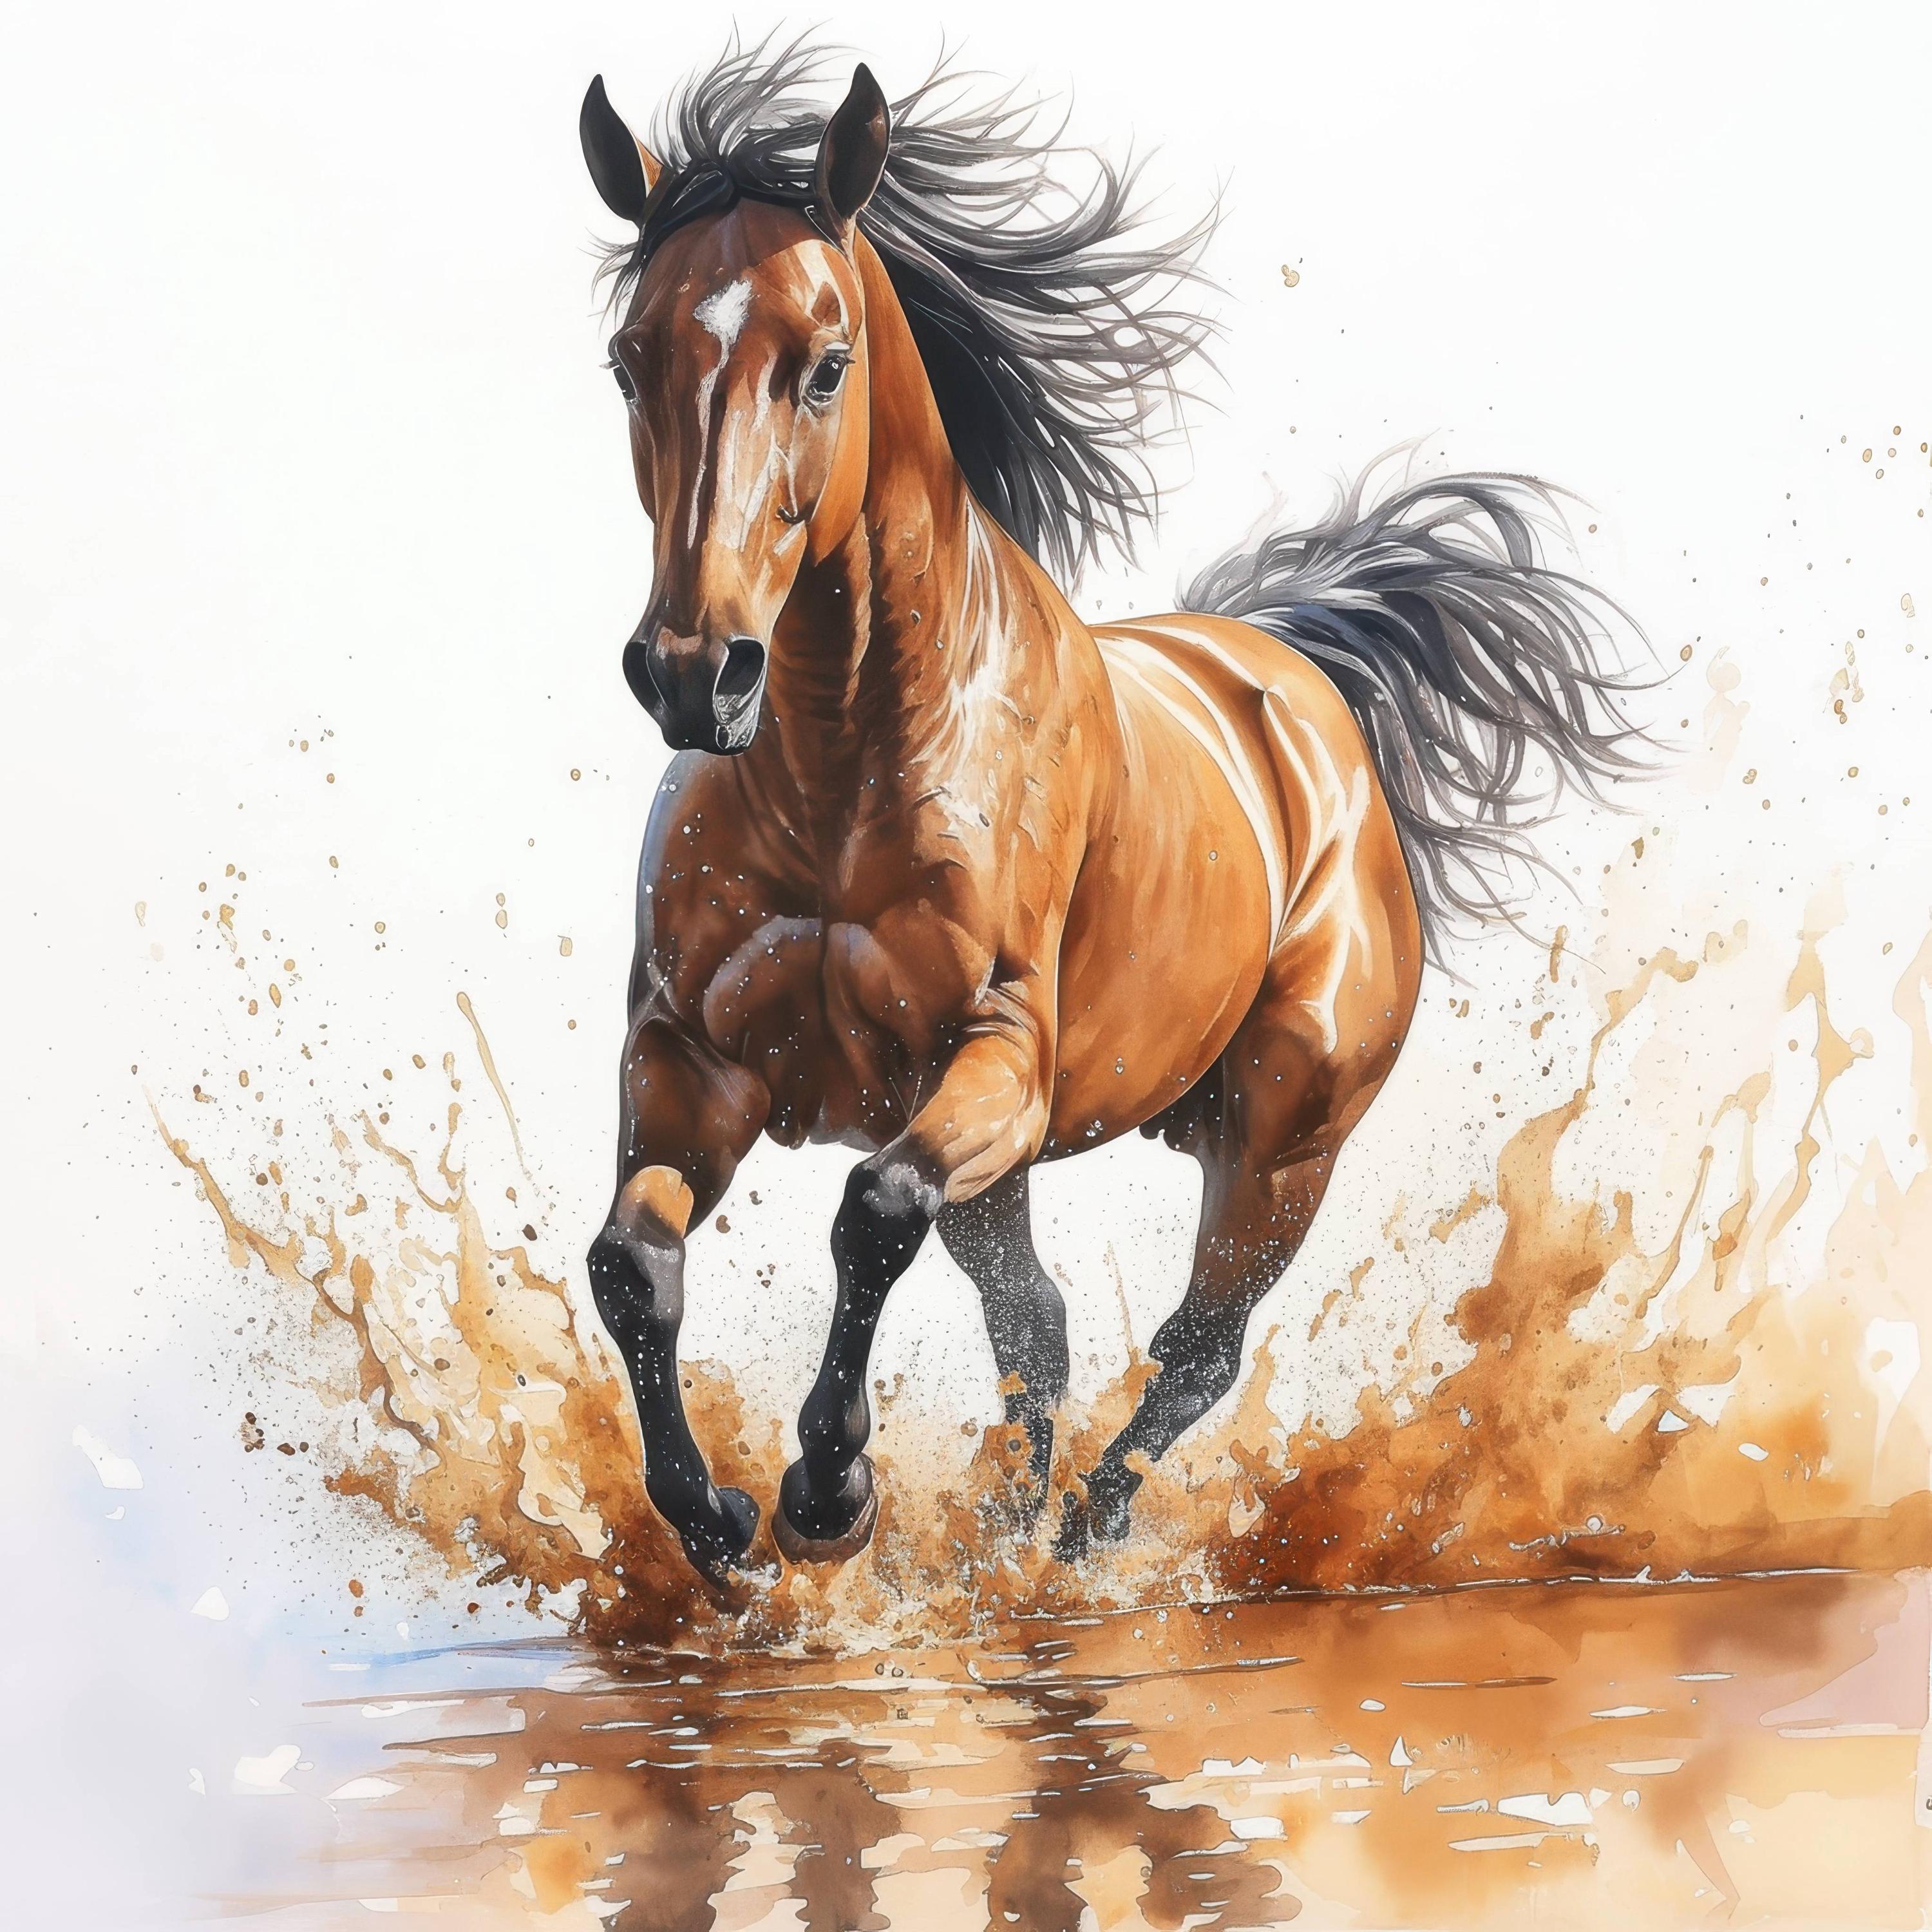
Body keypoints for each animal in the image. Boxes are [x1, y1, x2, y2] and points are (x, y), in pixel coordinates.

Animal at [575, 44, 1640, 1580]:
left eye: (825, 365)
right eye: (627, 359)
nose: (691, 671)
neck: (843, 774)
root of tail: (1299, 674)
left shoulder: (997, 1062)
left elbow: (872, 1211)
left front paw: (828, 1492)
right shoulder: (691, 1061)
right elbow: (631, 1265)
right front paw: (717, 1526)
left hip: (1281, 1146)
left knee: (1196, 1348)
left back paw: (1082, 1532)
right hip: (1044, 1167)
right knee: (1043, 1322)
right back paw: (1011, 1532)